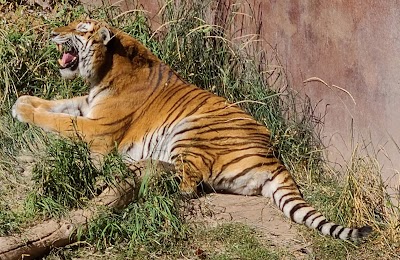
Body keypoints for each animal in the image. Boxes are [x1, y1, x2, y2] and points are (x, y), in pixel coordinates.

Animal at [11, 19, 372, 240]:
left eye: (81, 29)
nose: (53, 33)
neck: (104, 71)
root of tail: (273, 156)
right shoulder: (88, 106)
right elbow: (58, 104)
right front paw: (23, 101)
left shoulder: (98, 127)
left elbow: (58, 119)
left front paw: (23, 110)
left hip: (191, 128)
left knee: (187, 183)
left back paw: (132, 172)